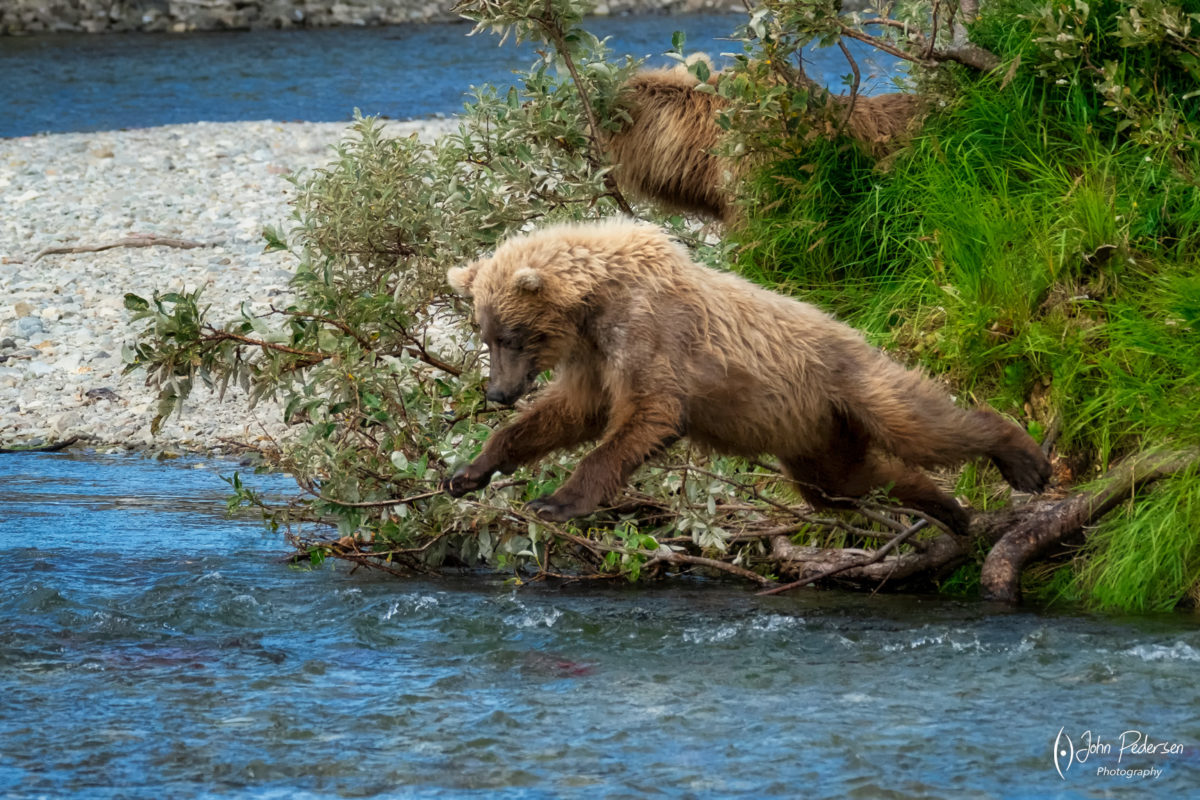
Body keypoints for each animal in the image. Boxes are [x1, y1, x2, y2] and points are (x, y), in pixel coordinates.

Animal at [442, 219, 1050, 534]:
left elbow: (648, 413)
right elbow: (569, 413)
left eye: (512, 336)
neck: (594, 303)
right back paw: (949, 510)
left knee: (918, 425)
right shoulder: (593, 356)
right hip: (816, 432)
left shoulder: (650, 332)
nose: (497, 392)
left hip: (847, 381)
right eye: (485, 334)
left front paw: (556, 501)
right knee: (847, 482)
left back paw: (1024, 459)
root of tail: (853, 331)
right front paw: (468, 471)